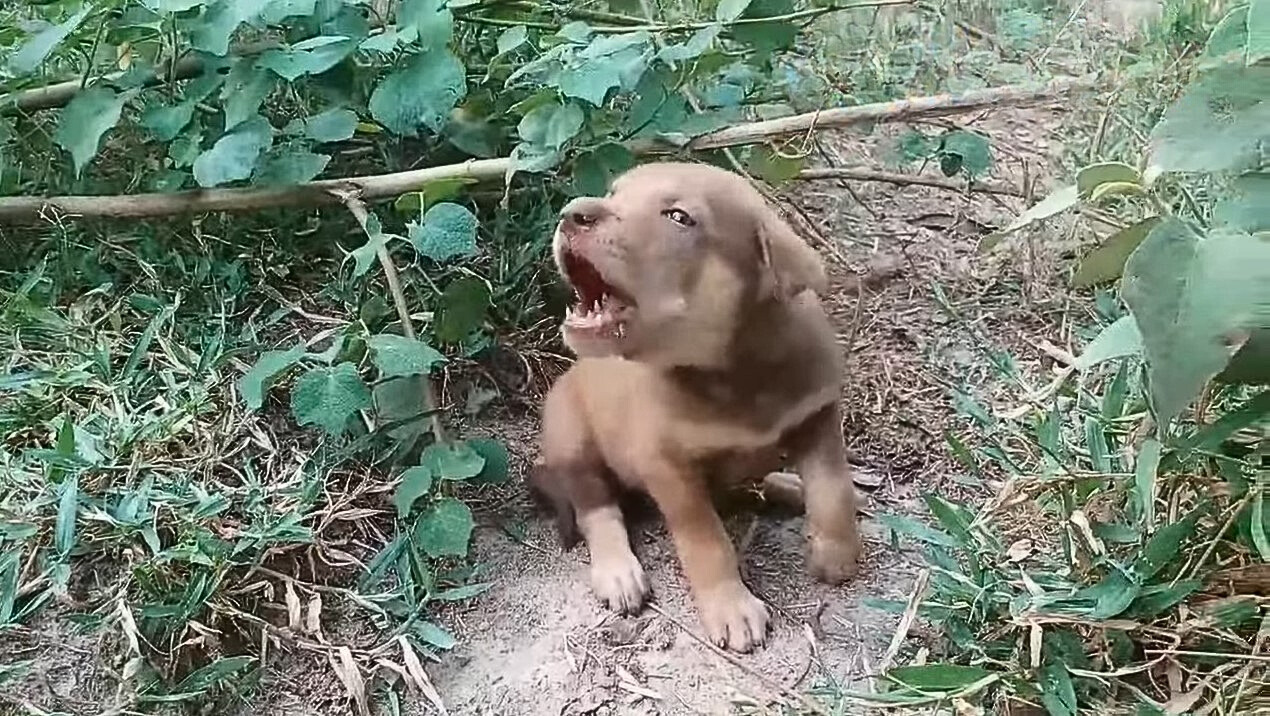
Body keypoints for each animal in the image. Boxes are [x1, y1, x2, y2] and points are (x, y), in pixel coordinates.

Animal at [525, 162, 863, 655]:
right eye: (613, 193)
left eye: (680, 217)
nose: (574, 213)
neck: (735, 372)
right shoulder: (668, 465)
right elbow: (706, 541)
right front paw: (732, 608)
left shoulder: (817, 411)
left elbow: (833, 487)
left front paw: (836, 552)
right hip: (572, 438)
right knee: (596, 507)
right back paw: (617, 570)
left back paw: (786, 484)